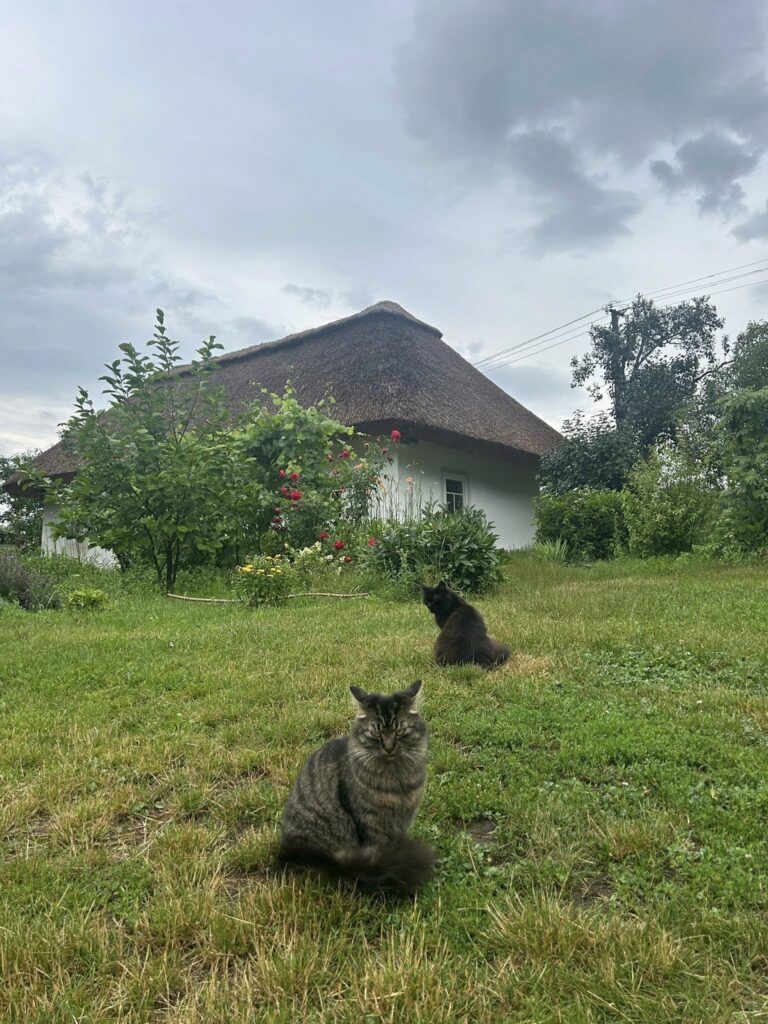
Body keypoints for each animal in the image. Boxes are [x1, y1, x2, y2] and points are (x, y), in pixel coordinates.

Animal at [278, 679, 434, 895]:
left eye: (400, 731)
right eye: (376, 733)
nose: (389, 748)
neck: (396, 781)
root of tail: (288, 851)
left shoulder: (403, 820)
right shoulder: (371, 823)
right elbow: (381, 854)